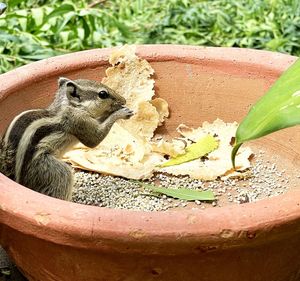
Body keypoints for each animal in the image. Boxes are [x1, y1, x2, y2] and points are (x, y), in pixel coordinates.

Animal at [0, 76, 134, 199]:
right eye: (103, 94)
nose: (123, 100)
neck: (68, 105)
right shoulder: (78, 120)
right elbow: (94, 139)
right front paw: (120, 113)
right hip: (50, 170)